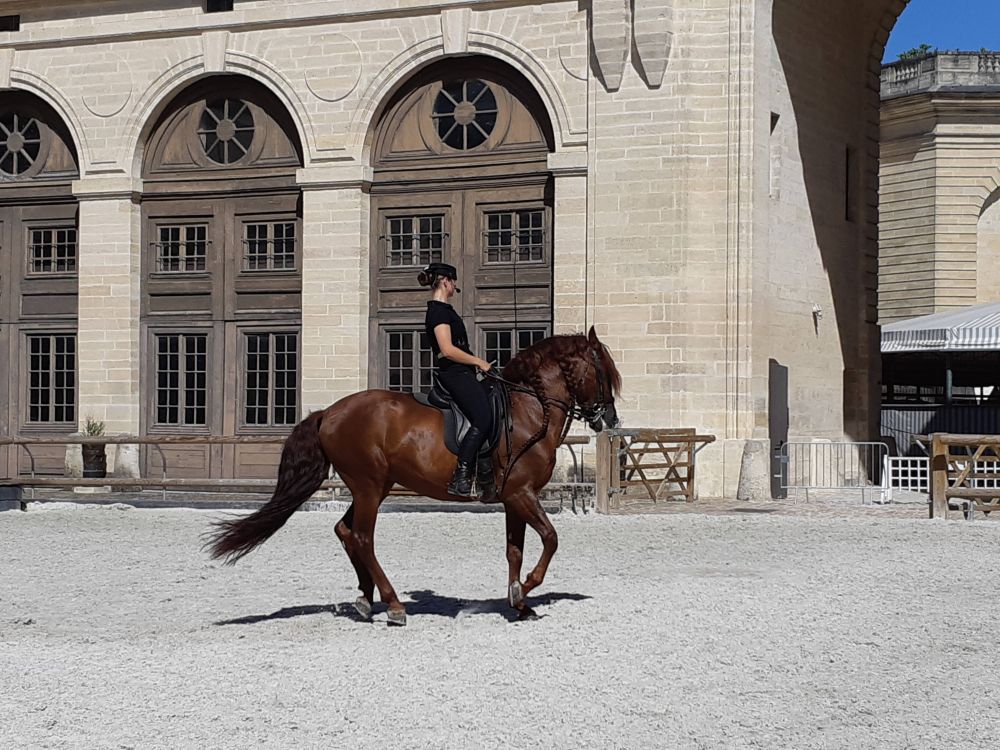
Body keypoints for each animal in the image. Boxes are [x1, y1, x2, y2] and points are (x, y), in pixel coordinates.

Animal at [205, 326, 621, 625]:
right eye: (604, 372)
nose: (611, 420)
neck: (529, 409)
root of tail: (329, 413)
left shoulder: (513, 498)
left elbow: (514, 551)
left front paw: (518, 601)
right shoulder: (522, 493)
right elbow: (551, 539)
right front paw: (526, 591)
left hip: (374, 486)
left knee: (346, 531)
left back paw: (365, 599)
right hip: (369, 486)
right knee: (362, 537)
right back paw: (393, 605)